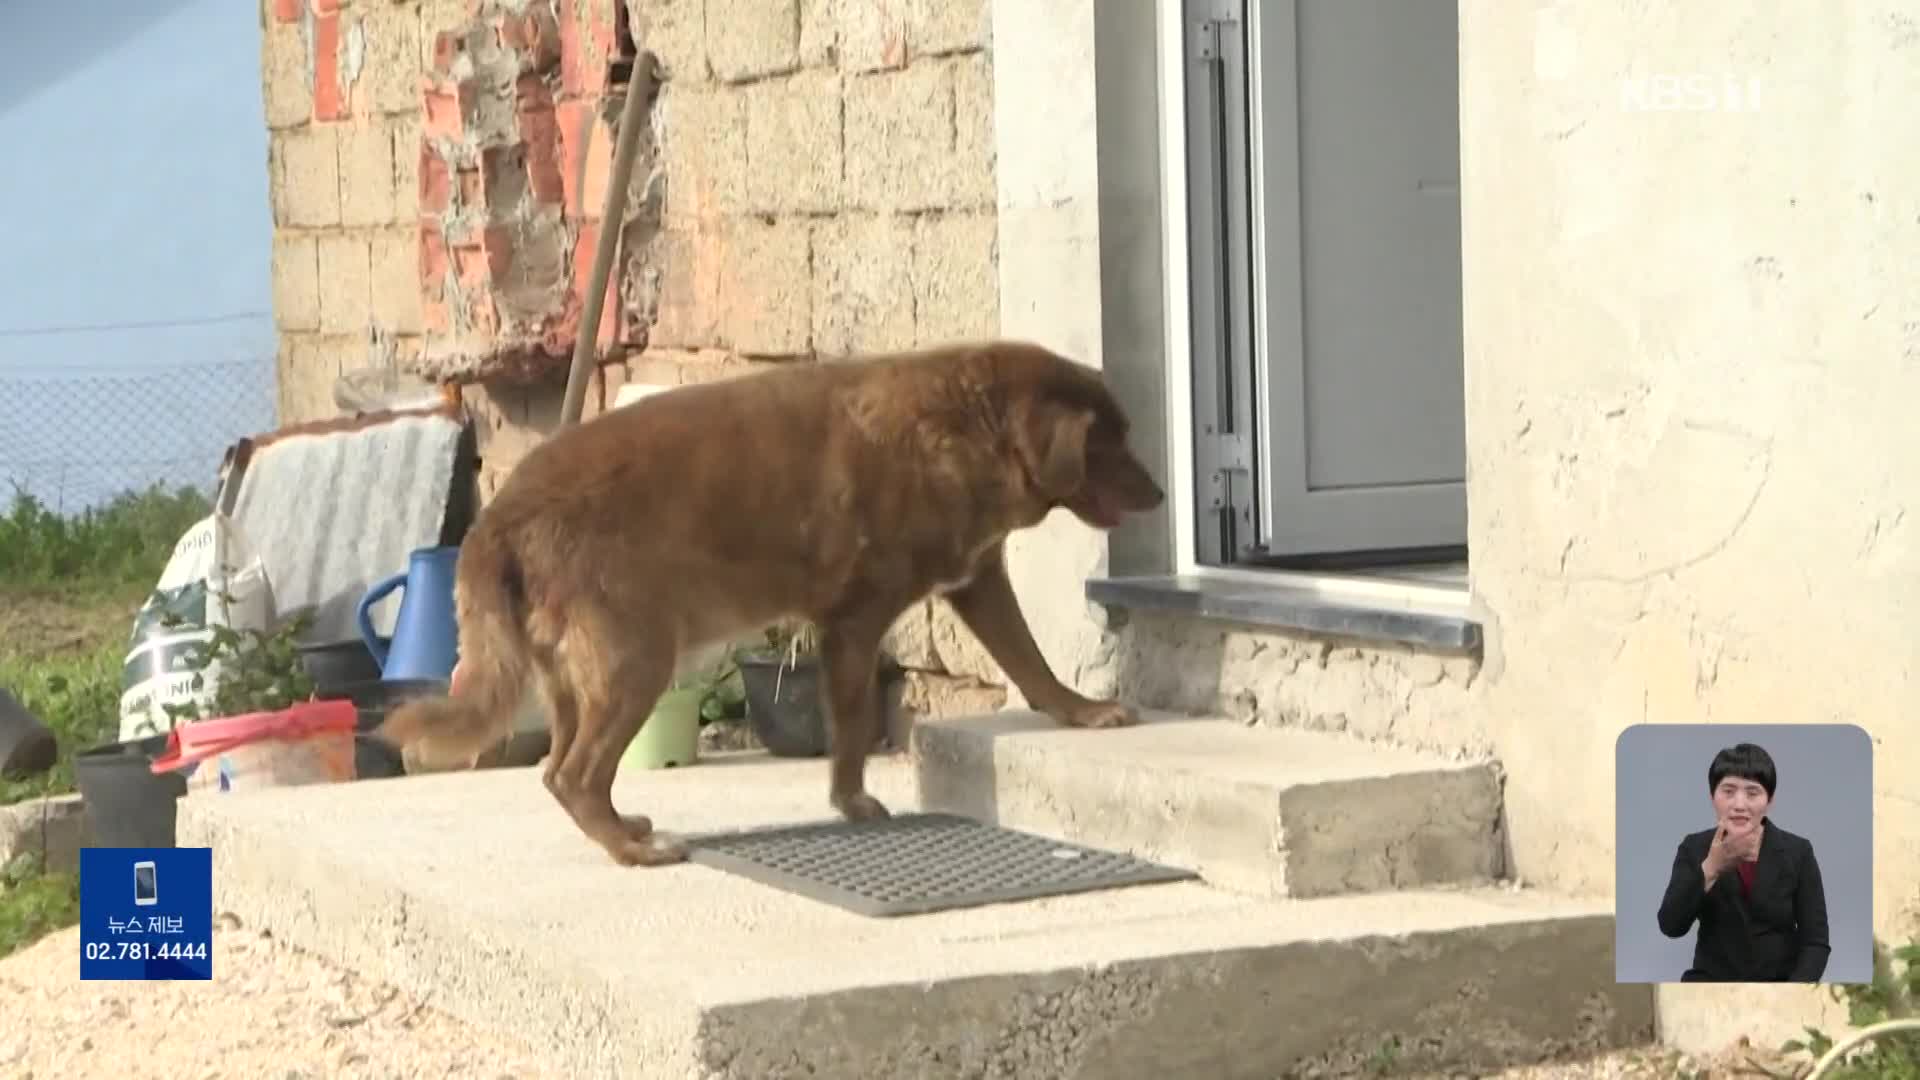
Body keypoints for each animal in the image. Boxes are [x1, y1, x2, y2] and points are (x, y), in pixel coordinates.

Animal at [368, 340, 1159, 860]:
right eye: (1113, 442)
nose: (1160, 493)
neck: (968, 424)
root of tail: (496, 521)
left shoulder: (976, 581)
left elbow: (1033, 665)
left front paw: (1084, 713)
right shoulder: (854, 623)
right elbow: (851, 729)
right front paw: (855, 804)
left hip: (570, 677)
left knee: (555, 771)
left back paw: (624, 833)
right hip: (635, 661)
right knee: (575, 774)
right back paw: (633, 851)